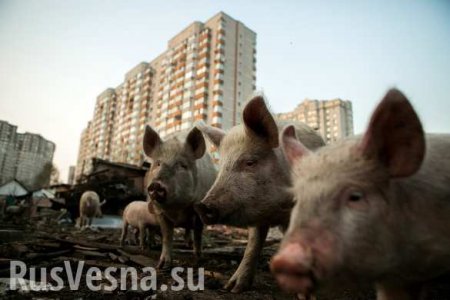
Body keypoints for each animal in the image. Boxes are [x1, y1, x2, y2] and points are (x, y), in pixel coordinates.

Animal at [142, 125, 216, 268]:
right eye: (158, 163)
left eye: (182, 165)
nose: (156, 184)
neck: (177, 209)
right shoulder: (160, 212)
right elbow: (167, 236)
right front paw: (162, 265)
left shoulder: (199, 209)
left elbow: (198, 233)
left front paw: (199, 257)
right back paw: (152, 244)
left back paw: (189, 244)